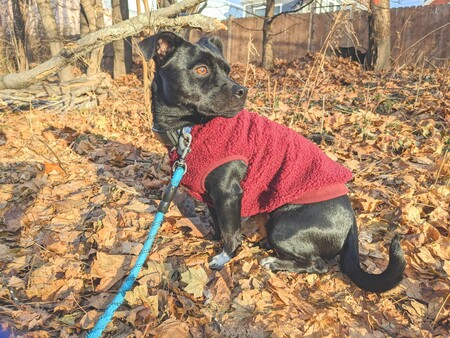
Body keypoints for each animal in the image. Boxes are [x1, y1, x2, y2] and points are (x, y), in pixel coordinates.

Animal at [139, 31, 406, 294]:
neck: (189, 130)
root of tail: (351, 220)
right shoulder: (213, 196)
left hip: (282, 226)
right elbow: (218, 224)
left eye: (227, 70)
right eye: (201, 70)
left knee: (318, 265)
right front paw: (212, 240)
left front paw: (225, 256)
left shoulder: (229, 194)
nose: (243, 91)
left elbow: (231, 233)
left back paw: (274, 262)